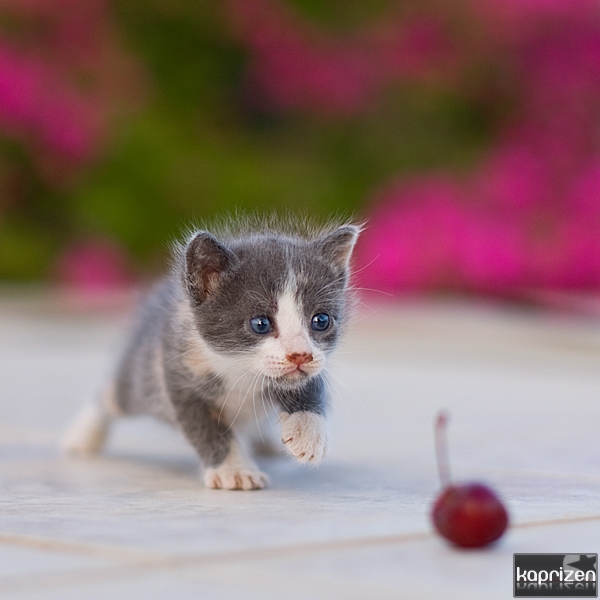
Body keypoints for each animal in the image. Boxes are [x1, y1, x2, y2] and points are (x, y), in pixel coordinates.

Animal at [61, 217, 360, 490]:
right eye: (260, 324)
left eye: (321, 320)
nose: (299, 356)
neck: (238, 368)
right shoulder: (179, 376)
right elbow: (207, 431)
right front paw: (234, 471)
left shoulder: (312, 363)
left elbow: (310, 385)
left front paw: (307, 435)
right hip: (140, 377)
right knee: (111, 396)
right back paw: (82, 437)